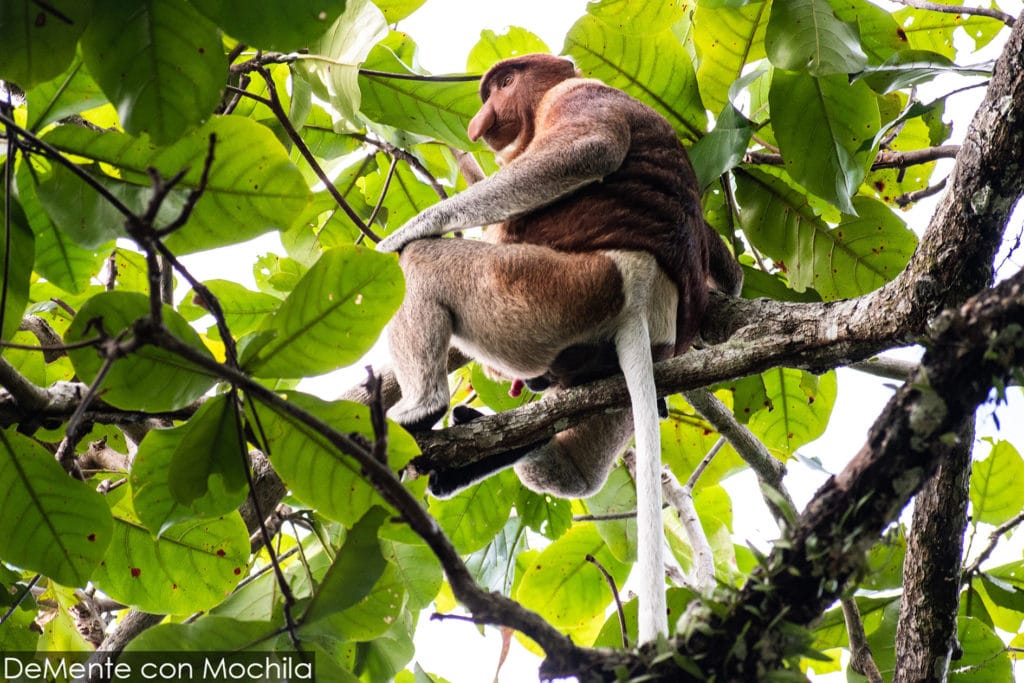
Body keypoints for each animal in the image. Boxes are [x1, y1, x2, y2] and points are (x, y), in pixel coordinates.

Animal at [377, 54, 742, 643]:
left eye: (504, 83)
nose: (479, 121)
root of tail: (643, 298)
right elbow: (730, 275)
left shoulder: (576, 96)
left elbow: (589, 149)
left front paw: (410, 229)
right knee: (574, 470)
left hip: (551, 290)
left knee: (425, 265)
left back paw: (421, 410)